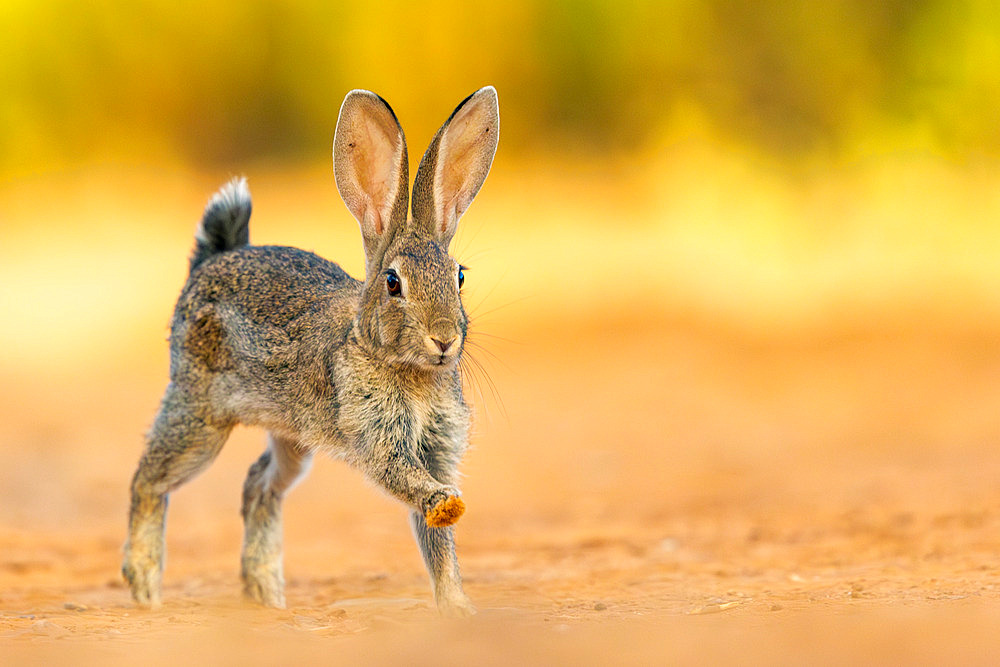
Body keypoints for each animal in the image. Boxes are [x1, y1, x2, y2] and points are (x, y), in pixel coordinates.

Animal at [123, 86, 498, 620]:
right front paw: (447, 504)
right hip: (200, 417)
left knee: (259, 484)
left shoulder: (438, 447)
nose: (444, 339)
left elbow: (437, 545)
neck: (396, 363)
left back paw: (266, 596)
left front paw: (459, 608)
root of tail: (209, 264)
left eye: (459, 276)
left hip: (292, 438)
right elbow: (405, 479)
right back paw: (146, 587)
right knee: (149, 480)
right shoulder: (378, 436)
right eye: (393, 283)